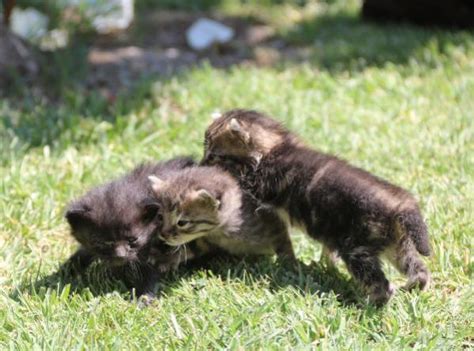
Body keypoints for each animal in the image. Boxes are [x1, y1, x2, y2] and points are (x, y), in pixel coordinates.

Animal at [64, 158, 194, 298]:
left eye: (133, 240)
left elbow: (150, 275)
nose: (120, 256)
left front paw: (143, 298)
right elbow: (83, 252)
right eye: (103, 242)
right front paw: (64, 272)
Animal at [148, 168, 296, 264]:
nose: (163, 235)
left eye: (182, 223)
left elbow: (283, 243)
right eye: (160, 217)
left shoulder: (271, 221)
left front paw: (290, 265)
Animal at [202, 109, 432, 306]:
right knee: (420, 270)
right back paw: (410, 288)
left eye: (213, 154)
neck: (277, 145)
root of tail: (401, 204)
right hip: (399, 245)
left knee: (381, 286)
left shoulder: (260, 191)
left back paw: (366, 303)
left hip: (357, 249)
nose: (202, 162)